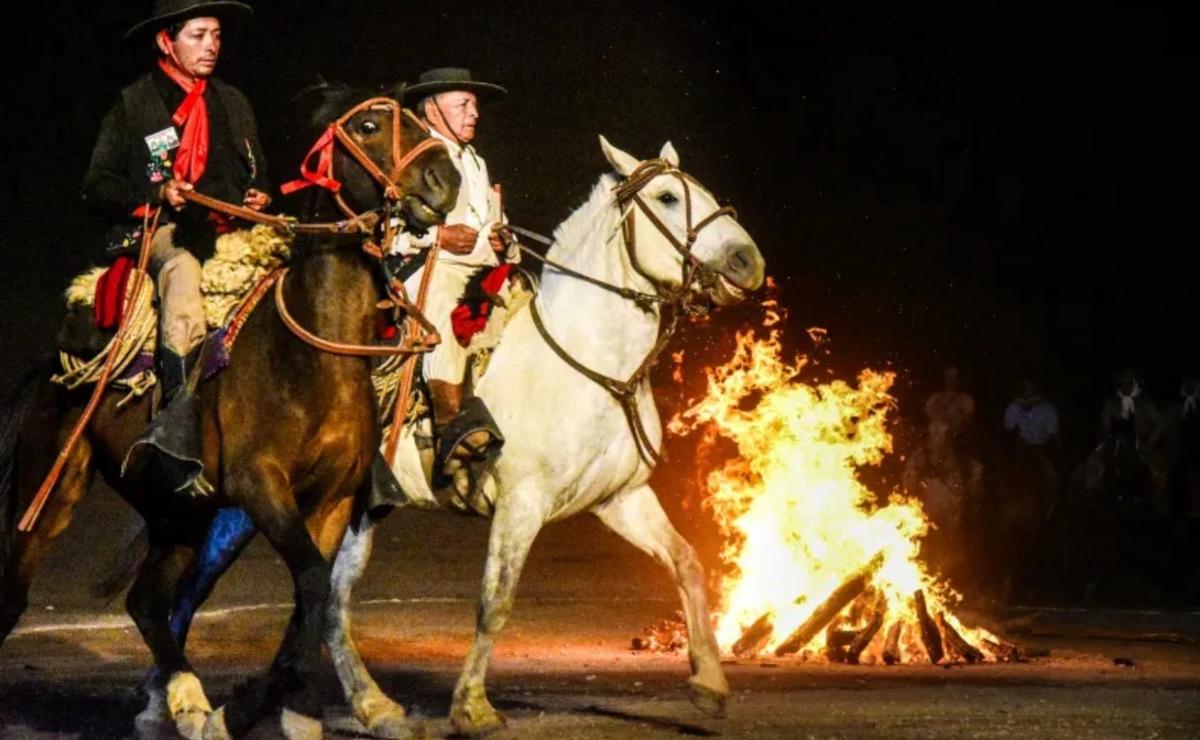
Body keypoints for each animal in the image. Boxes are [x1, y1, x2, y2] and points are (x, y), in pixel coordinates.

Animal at [324, 137, 763, 734]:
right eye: (668, 197)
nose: (748, 262)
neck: (591, 363)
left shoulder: (622, 498)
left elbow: (688, 563)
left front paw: (709, 684)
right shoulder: (521, 505)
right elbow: (495, 603)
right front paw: (472, 707)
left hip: (357, 512)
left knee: (330, 602)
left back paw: (373, 705)